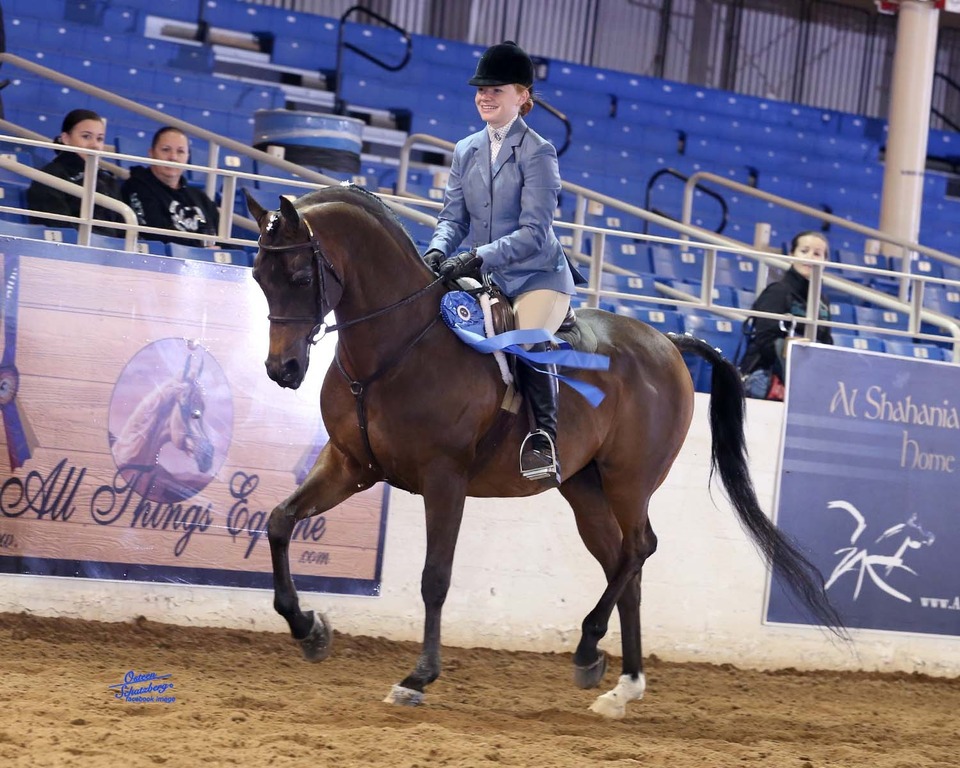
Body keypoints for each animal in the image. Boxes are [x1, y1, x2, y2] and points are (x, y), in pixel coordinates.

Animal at [246, 185, 843, 719]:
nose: (281, 370)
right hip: (585, 488)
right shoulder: (351, 464)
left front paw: (417, 678)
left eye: (300, 278)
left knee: (640, 547)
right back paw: (621, 685)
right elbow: (279, 521)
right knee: (624, 564)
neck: (397, 348)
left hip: (630, 480)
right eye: (257, 278)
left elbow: (435, 576)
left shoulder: (444, 479)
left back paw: (588, 647)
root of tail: (670, 343)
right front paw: (309, 630)